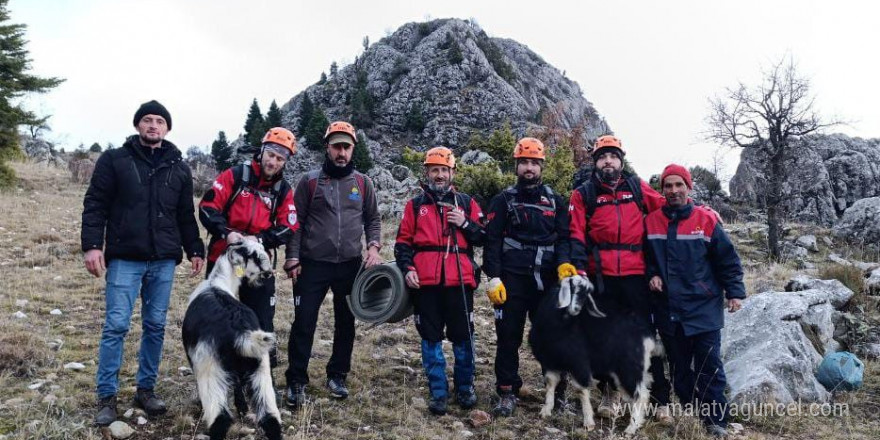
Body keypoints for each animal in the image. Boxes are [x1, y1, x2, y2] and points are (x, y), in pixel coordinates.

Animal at [182, 241, 282, 440]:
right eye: (254, 255)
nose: (268, 273)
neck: (217, 282)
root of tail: (241, 332)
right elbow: (237, 384)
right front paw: (242, 408)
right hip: (261, 370)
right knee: (271, 419)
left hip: (210, 370)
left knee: (220, 420)